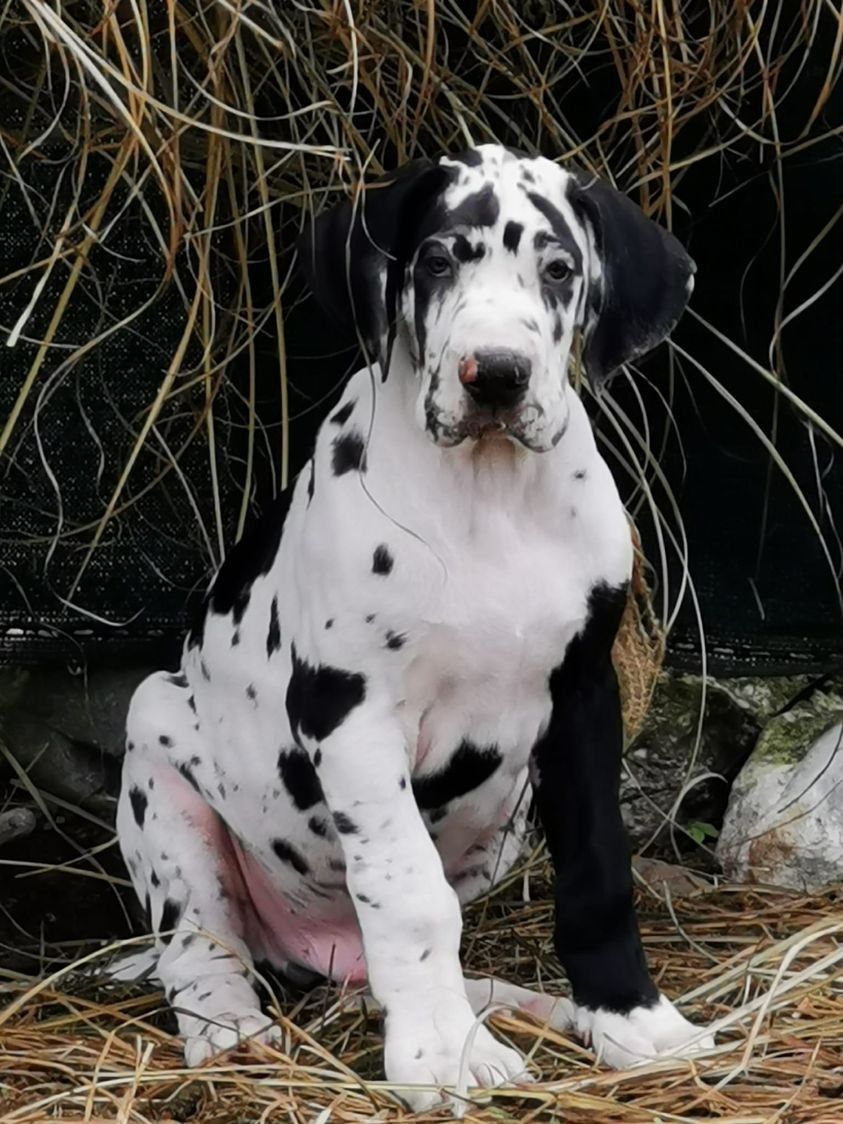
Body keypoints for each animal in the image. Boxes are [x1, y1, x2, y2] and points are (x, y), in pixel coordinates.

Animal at [115, 144, 713, 1108]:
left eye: (559, 270)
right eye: (435, 261)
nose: (496, 374)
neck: (489, 497)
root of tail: (322, 953)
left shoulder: (585, 695)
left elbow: (598, 872)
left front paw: (633, 1021)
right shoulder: (350, 714)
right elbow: (408, 892)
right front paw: (438, 1056)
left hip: (506, 820)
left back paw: (513, 1008)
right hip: (160, 762)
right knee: (201, 947)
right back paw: (237, 1036)